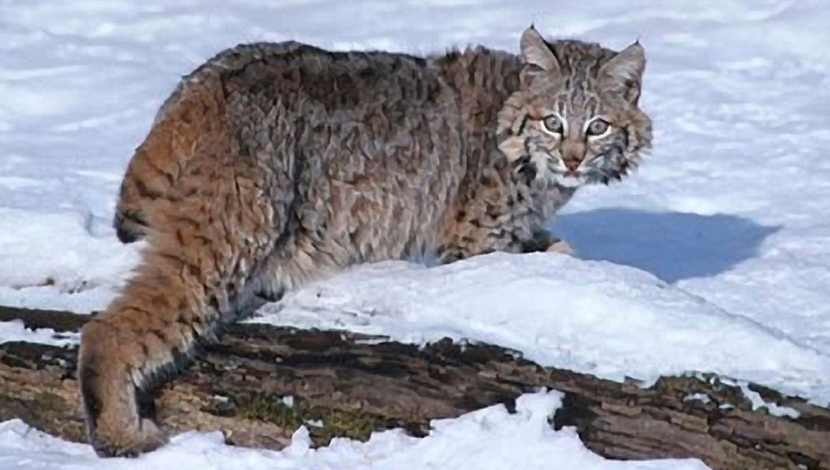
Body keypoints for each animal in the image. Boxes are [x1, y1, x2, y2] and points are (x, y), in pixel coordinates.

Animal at [79, 25, 648, 456]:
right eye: (553, 122)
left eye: (597, 127)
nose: (573, 159)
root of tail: (206, 79)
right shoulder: (472, 244)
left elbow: (556, 248)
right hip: (236, 232)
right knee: (111, 327)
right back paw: (120, 436)